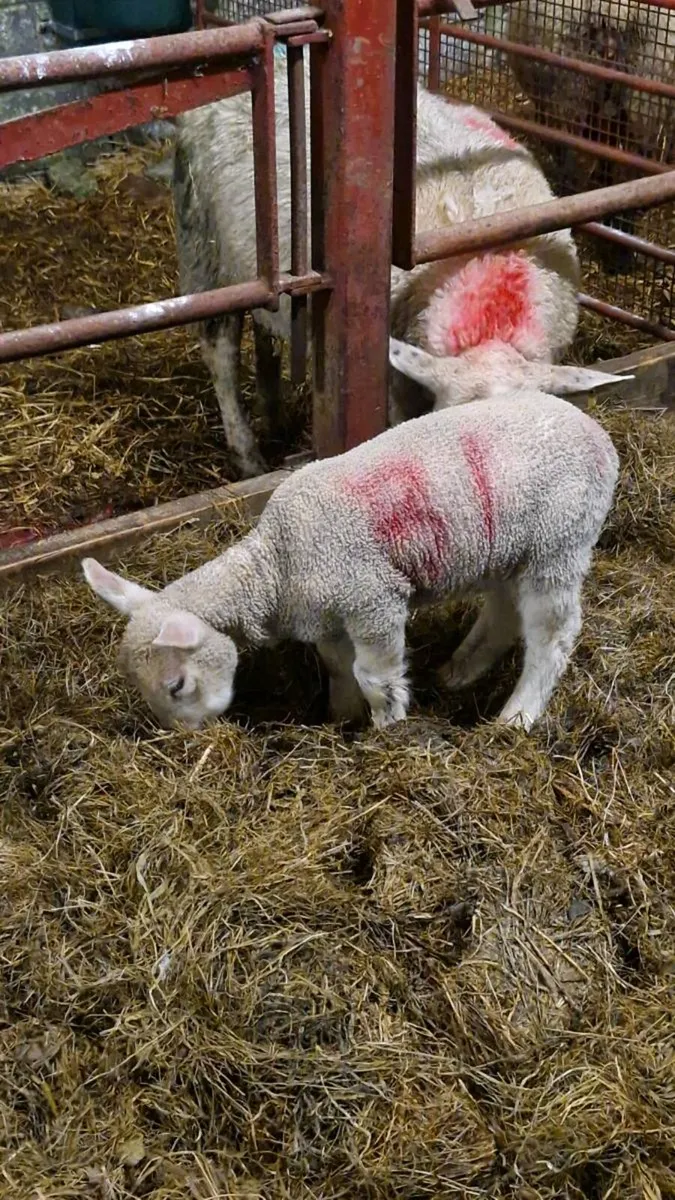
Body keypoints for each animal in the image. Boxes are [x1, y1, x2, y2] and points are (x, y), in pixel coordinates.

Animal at [82, 339, 620, 735]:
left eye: (175, 685)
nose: (186, 740)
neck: (276, 563)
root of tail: (596, 431)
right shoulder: (327, 618)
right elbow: (339, 669)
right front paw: (338, 720)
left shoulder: (373, 601)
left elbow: (374, 676)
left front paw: (387, 729)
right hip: (512, 549)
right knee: (506, 612)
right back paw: (460, 671)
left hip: (560, 542)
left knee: (552, 636)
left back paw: (517, 717)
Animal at [174, 45, 618, 476]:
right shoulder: (394, 388)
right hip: (205, 249)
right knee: (220, 352)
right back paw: (248, 456)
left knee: (265, 332)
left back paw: (273, 416)